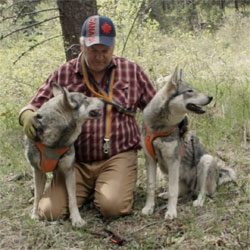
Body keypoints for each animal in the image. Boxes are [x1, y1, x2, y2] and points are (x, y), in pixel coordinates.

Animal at [24, 84, 103, 227]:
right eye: (85, 98)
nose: (104, 100)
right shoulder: (38, 171)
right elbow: (38, 195)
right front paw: (34, 215)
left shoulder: (69, 170)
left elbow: (72, 197)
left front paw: (76, 219)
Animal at [142, 67, 235, 220]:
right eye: (190, 91)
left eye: (193, 89)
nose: (210, 97)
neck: (160, 128)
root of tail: (217, 178)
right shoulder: (150, 160)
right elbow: (151, 187)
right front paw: (149, 208)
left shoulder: (173, 161)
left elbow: (173, 191)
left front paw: (171, 212)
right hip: (168, 170)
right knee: (182, 190)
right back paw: (166, 194)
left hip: (205, 161)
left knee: (203, 192)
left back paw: (198, 201)